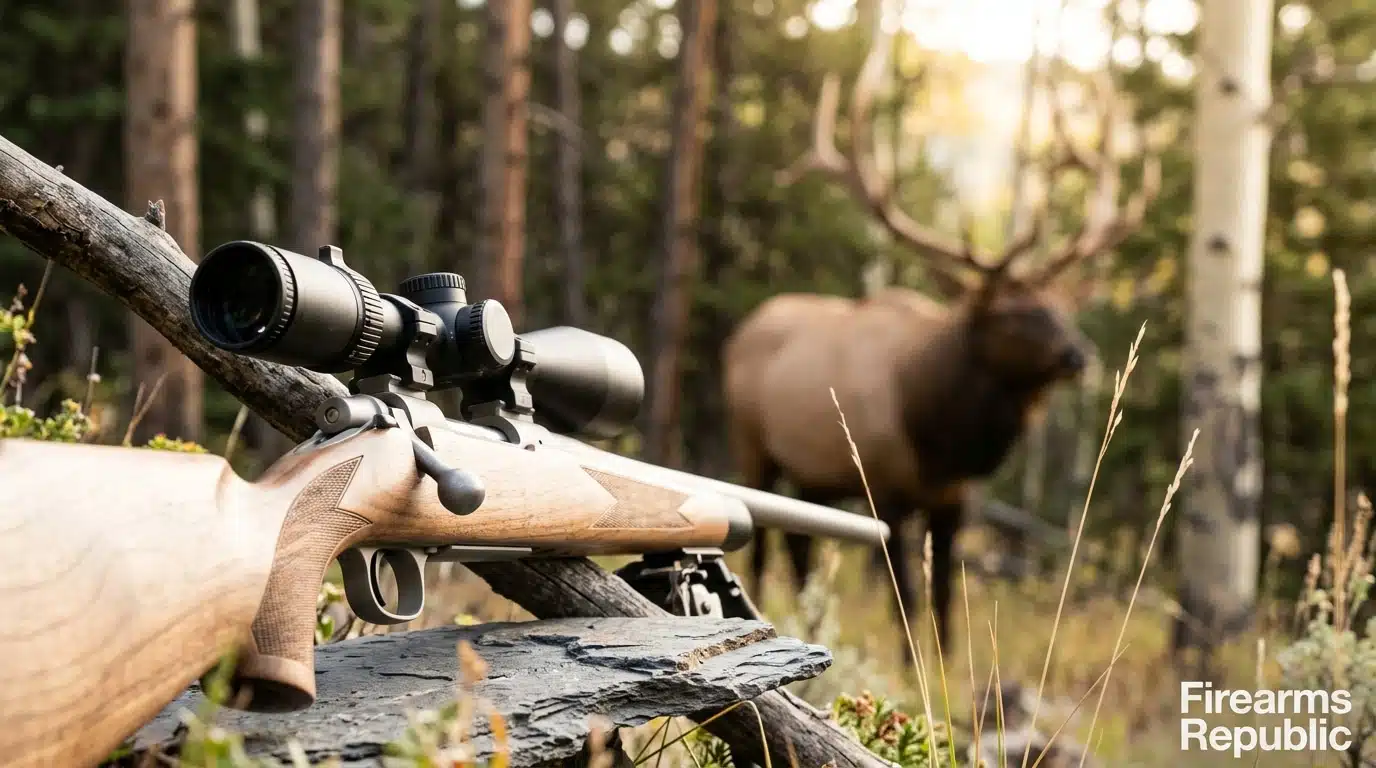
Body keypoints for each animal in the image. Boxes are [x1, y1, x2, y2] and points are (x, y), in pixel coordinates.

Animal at [723, 18, 1161, 652]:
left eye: (1060, 308)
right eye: (1011, 312)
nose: (1080, 355)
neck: (940, 434)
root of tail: (744, 327)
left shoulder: (955, 502)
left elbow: (947, 604)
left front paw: (946, 663)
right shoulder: (885, 490)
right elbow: (907, 600)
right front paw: (914, 665)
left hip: (813, 478)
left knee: (800, 548)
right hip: (752, 442)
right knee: (764, 550)